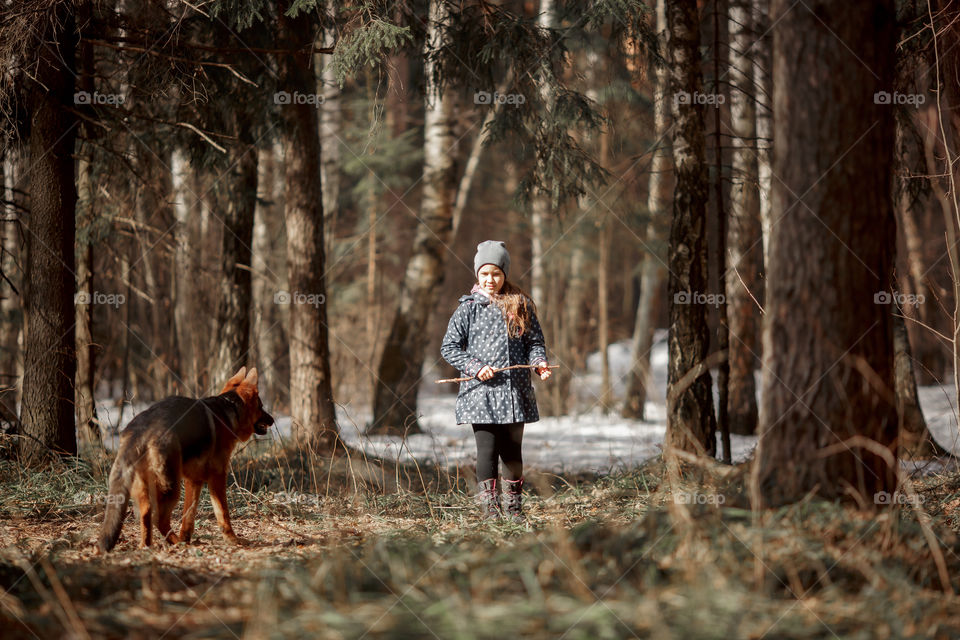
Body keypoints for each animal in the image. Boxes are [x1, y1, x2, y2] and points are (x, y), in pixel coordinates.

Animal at [98, 368, 274, 552]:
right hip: (171, 488)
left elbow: (188, 515)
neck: (229, 409)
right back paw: (176, 543)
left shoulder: (194, 480)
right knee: (158, 517)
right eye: (261, 406)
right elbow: (223, 513)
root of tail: (140, 429)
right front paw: (233, 539)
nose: (273, 420)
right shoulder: (217, 477)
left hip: (148, 486)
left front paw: (186, 537)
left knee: (145, 513)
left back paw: (148, 545)